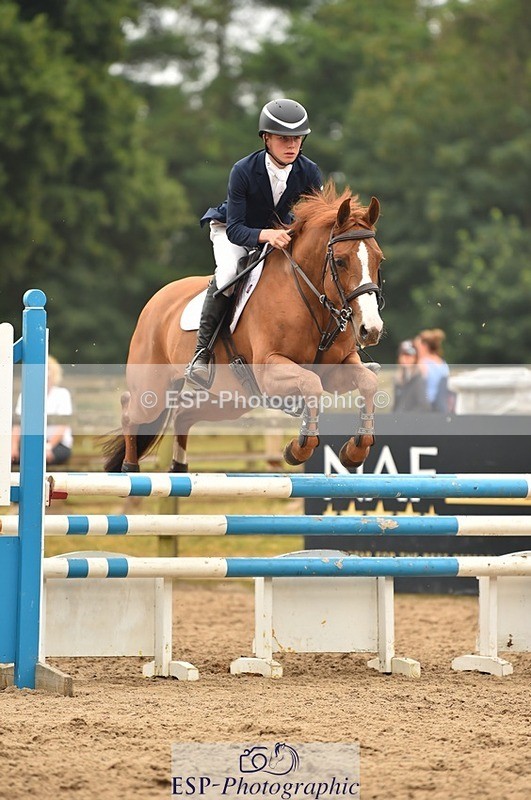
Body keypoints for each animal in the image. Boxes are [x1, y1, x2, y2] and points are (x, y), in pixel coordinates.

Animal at [103, 183, 385, 474]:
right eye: (340, 261)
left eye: (379, 260)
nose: (371, 329)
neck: (311, 300)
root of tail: (155, 302)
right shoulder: (269, 370)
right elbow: (311, 383)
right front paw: (298, 449)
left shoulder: (336, 368)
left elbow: (368, 382)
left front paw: (355, 451)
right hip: (154, 388)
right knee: (131, 410)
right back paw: (129, 467)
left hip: (232, 399)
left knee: (183, 414)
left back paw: (179, 468)